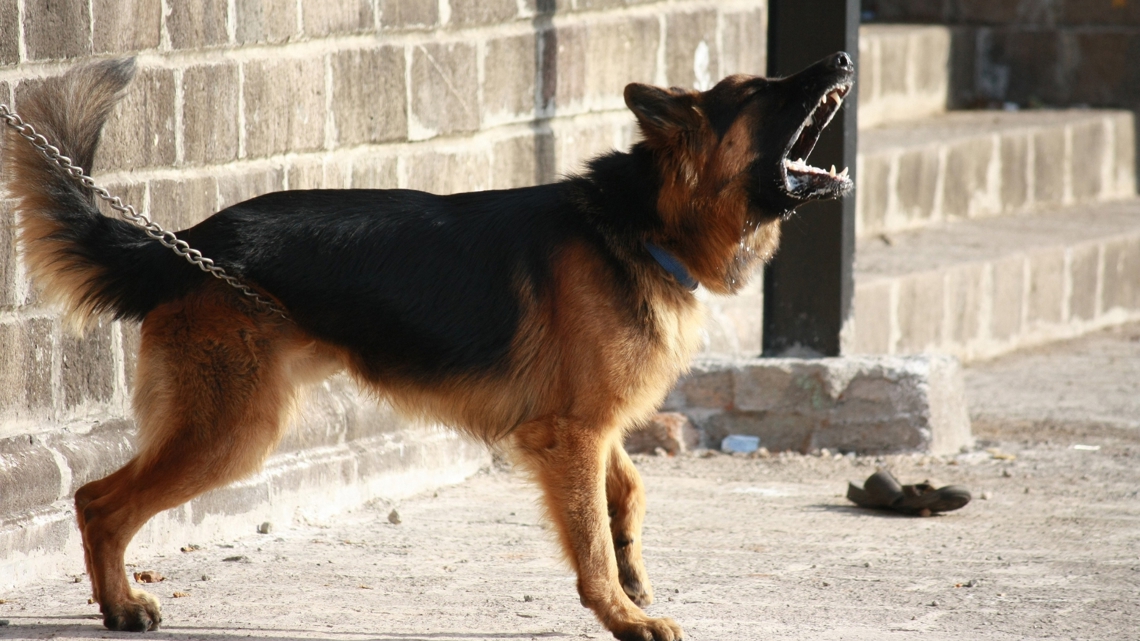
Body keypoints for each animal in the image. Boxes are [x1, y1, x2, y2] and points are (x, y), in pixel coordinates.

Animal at [2, 51, 857, 638]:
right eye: (759, 92)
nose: (843, 61)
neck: (641, 221)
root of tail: (190, 241)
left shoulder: (589, 425)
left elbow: (628, 490)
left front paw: (633, 569)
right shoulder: (570, 434)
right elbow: (587, 539)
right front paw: (623, 613)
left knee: (100, 499)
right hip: (231, 430)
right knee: (96, 499)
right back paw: (119, 603)